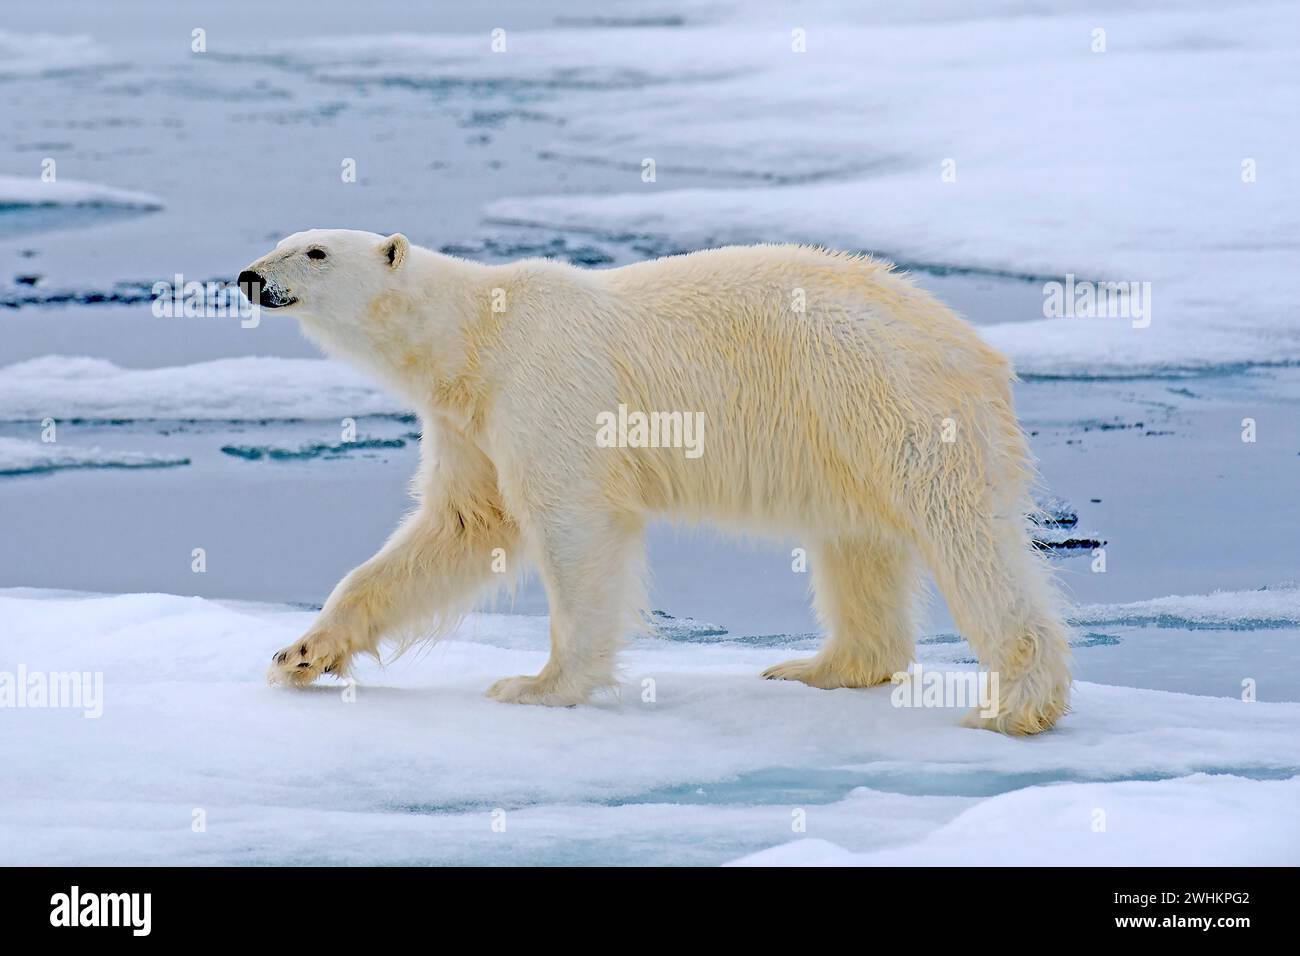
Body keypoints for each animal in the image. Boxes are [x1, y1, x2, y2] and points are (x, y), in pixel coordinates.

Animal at [239, 230, 1071, 733]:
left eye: (314, 251)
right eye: (280, 242)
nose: (249, 277)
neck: (478, 334)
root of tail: (977, 352)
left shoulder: (546, 387)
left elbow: (570, 525)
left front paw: (537, 686)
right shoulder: (471, 420)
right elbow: (461, 524)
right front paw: (300, 654)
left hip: (901, 411)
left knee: (967, 541)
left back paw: (1014, 707)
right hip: (844, 436)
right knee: (855, 544)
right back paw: (817, 666)